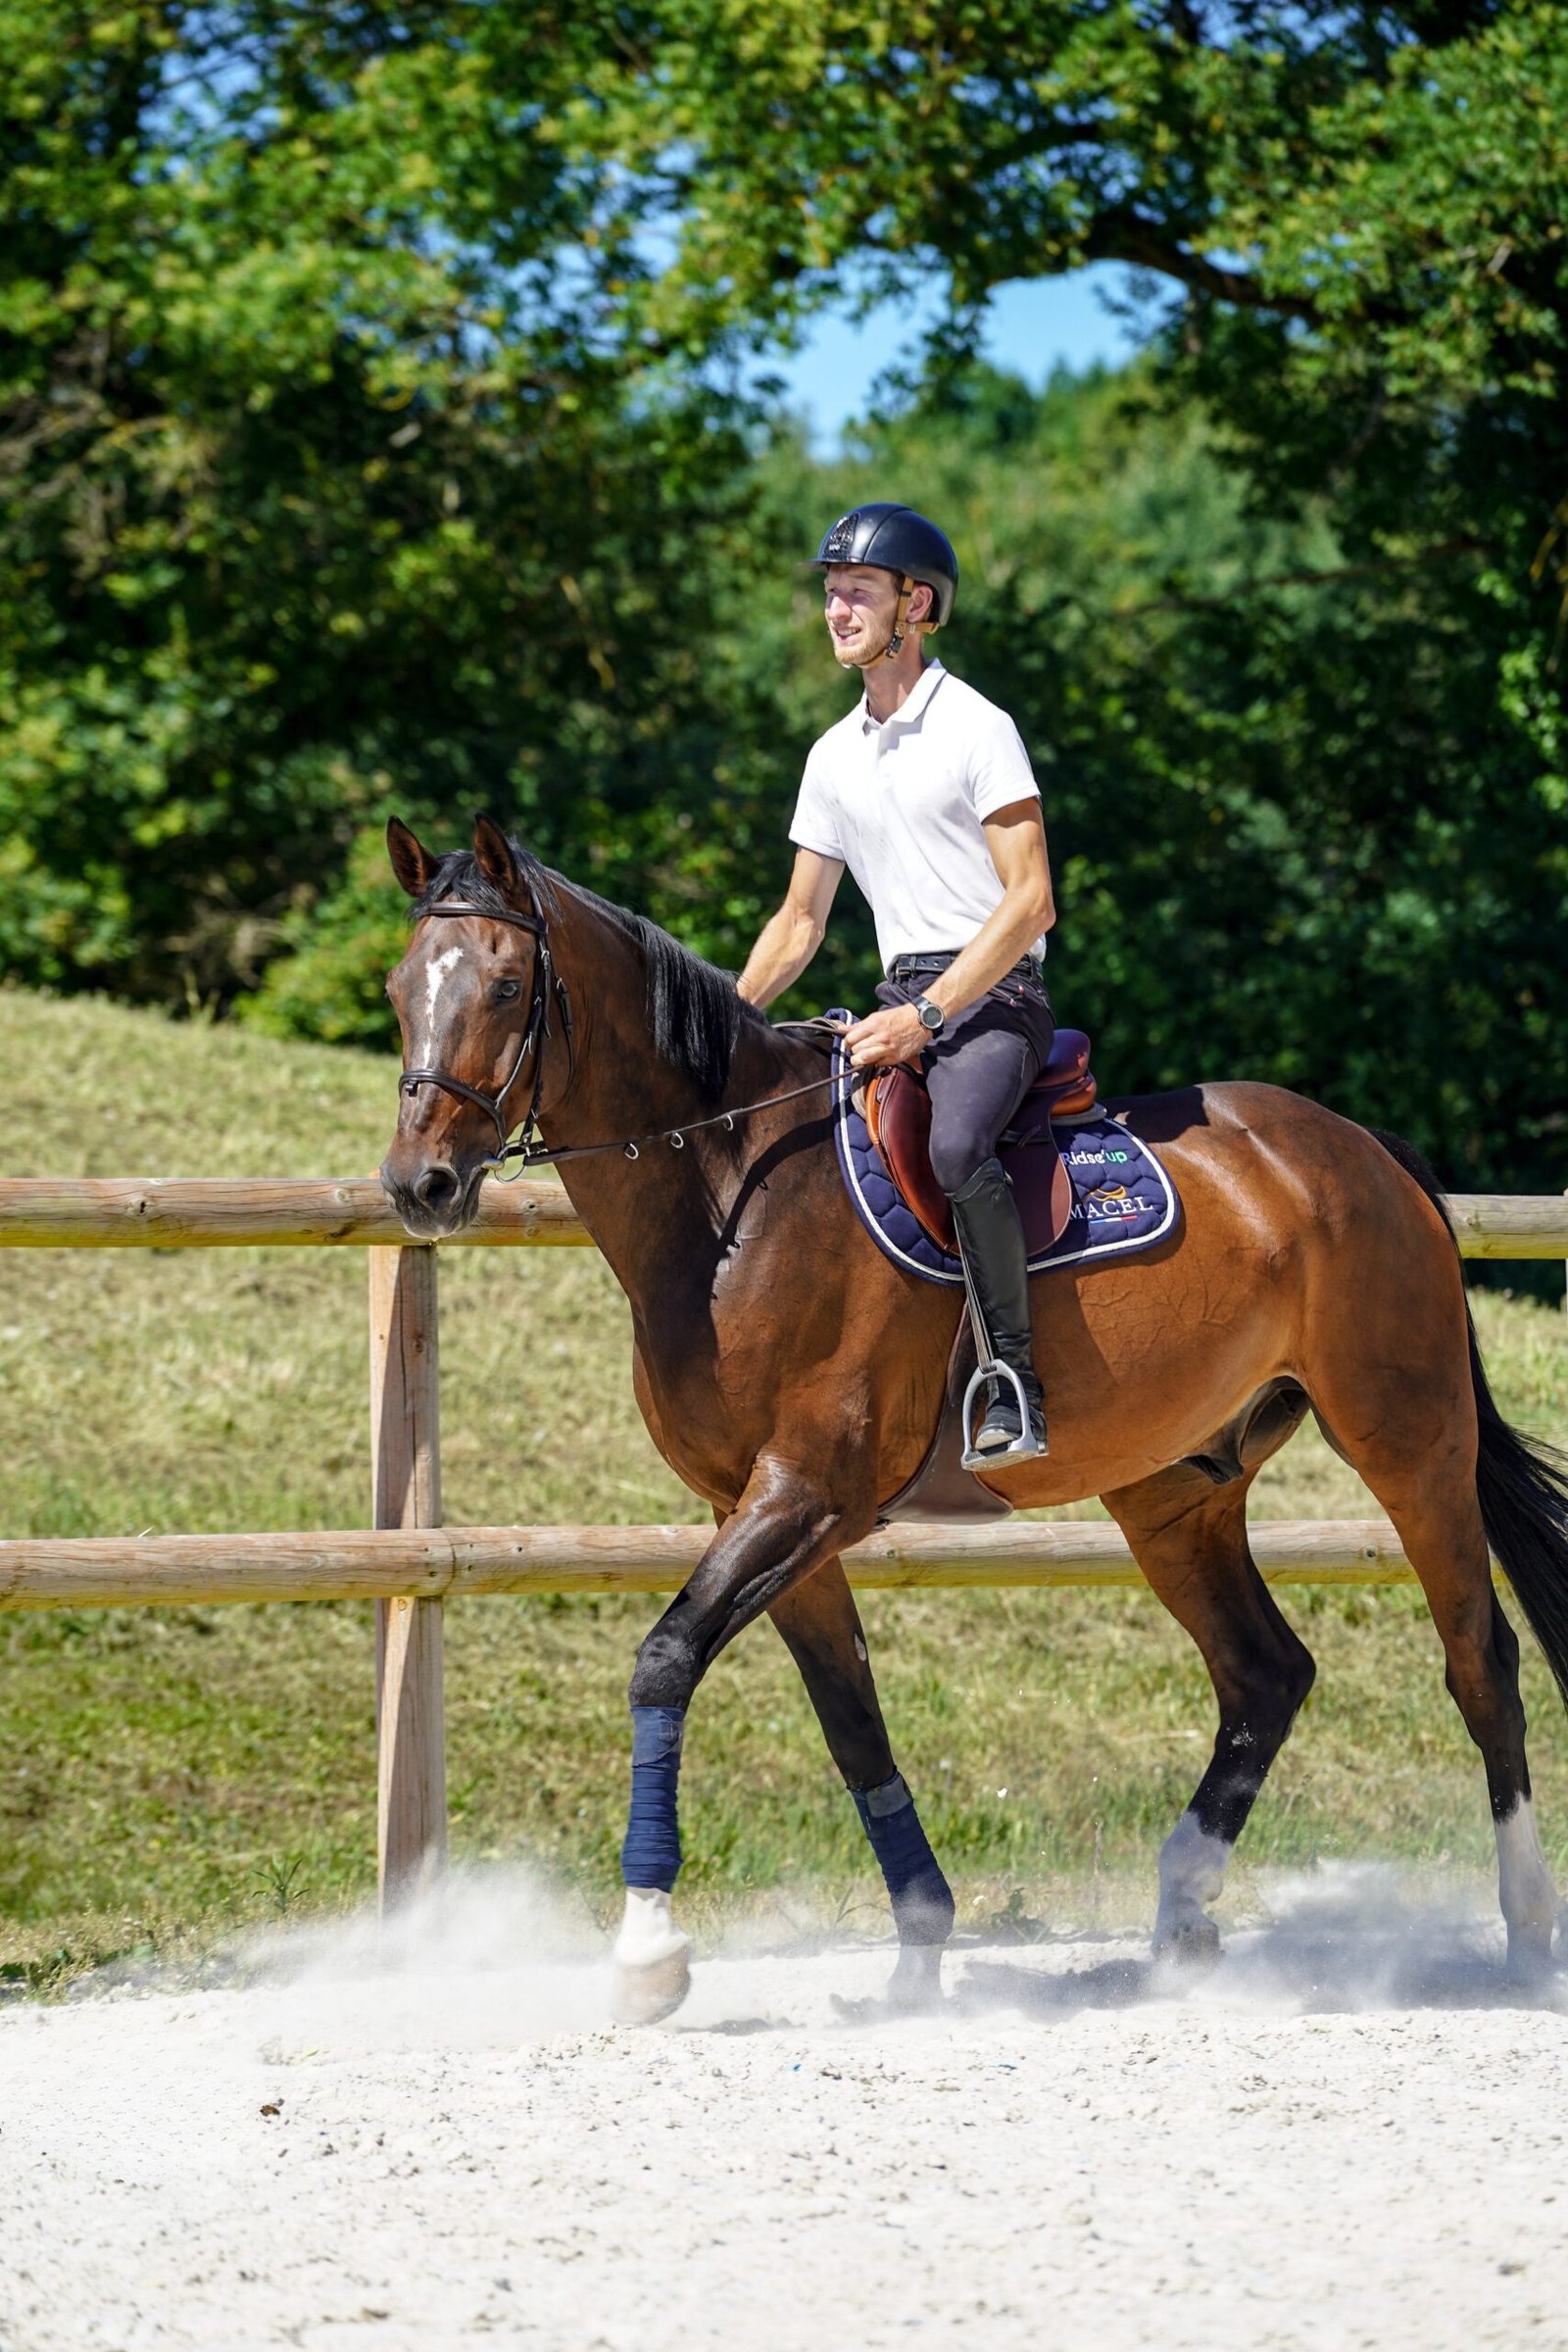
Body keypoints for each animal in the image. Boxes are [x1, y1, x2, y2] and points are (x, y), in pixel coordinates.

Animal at [378, 814, 1568, 2022]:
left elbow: (664, 1662)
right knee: (1264, 1674)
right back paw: (1181, 1921)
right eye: (398, 988)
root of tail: (1361, 1148)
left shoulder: (808, 1492)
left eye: (508, 984)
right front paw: (917, 1950)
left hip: (1409, 1442)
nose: (418, 1185)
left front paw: (648, 1953)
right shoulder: (756, 1511)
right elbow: (851, 1722)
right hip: (1173, 1490)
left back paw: (1525, 1935)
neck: (730, 1198)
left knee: (1480, 1662)